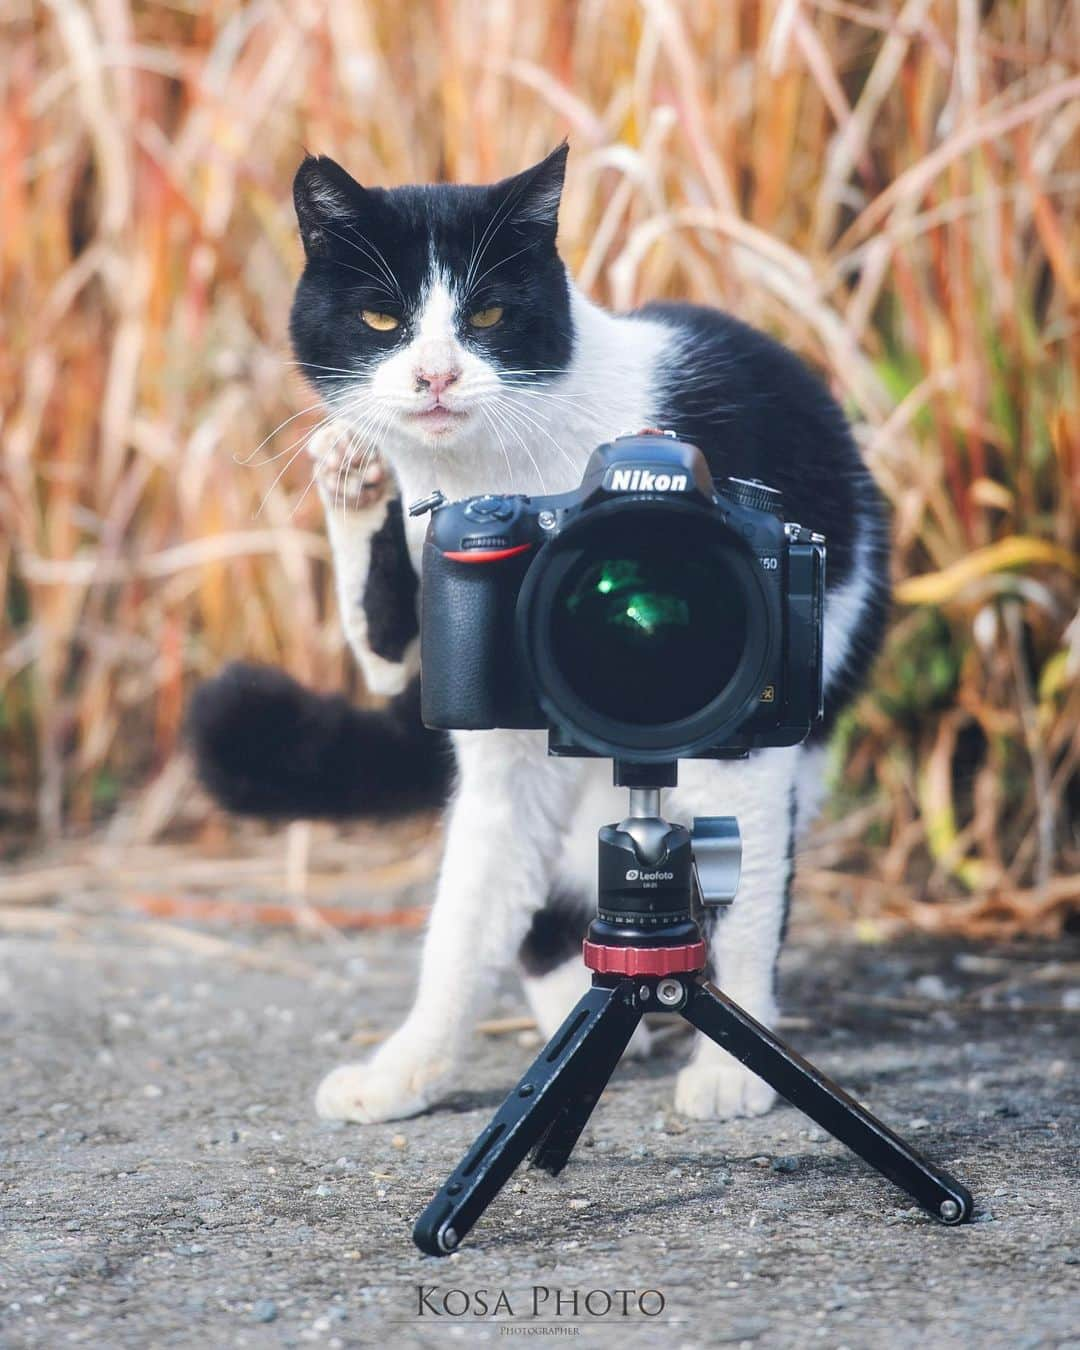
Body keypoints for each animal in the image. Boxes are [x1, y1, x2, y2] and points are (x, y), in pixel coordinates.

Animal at [190, 142, 891, 1123]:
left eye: (486, 313)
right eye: (382, 317)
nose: (436, 375)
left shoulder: (750, 716)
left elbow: (744, 889)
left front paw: (735, 1068)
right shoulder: (470, 679)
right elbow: (463, 913)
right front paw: (407, 1069)